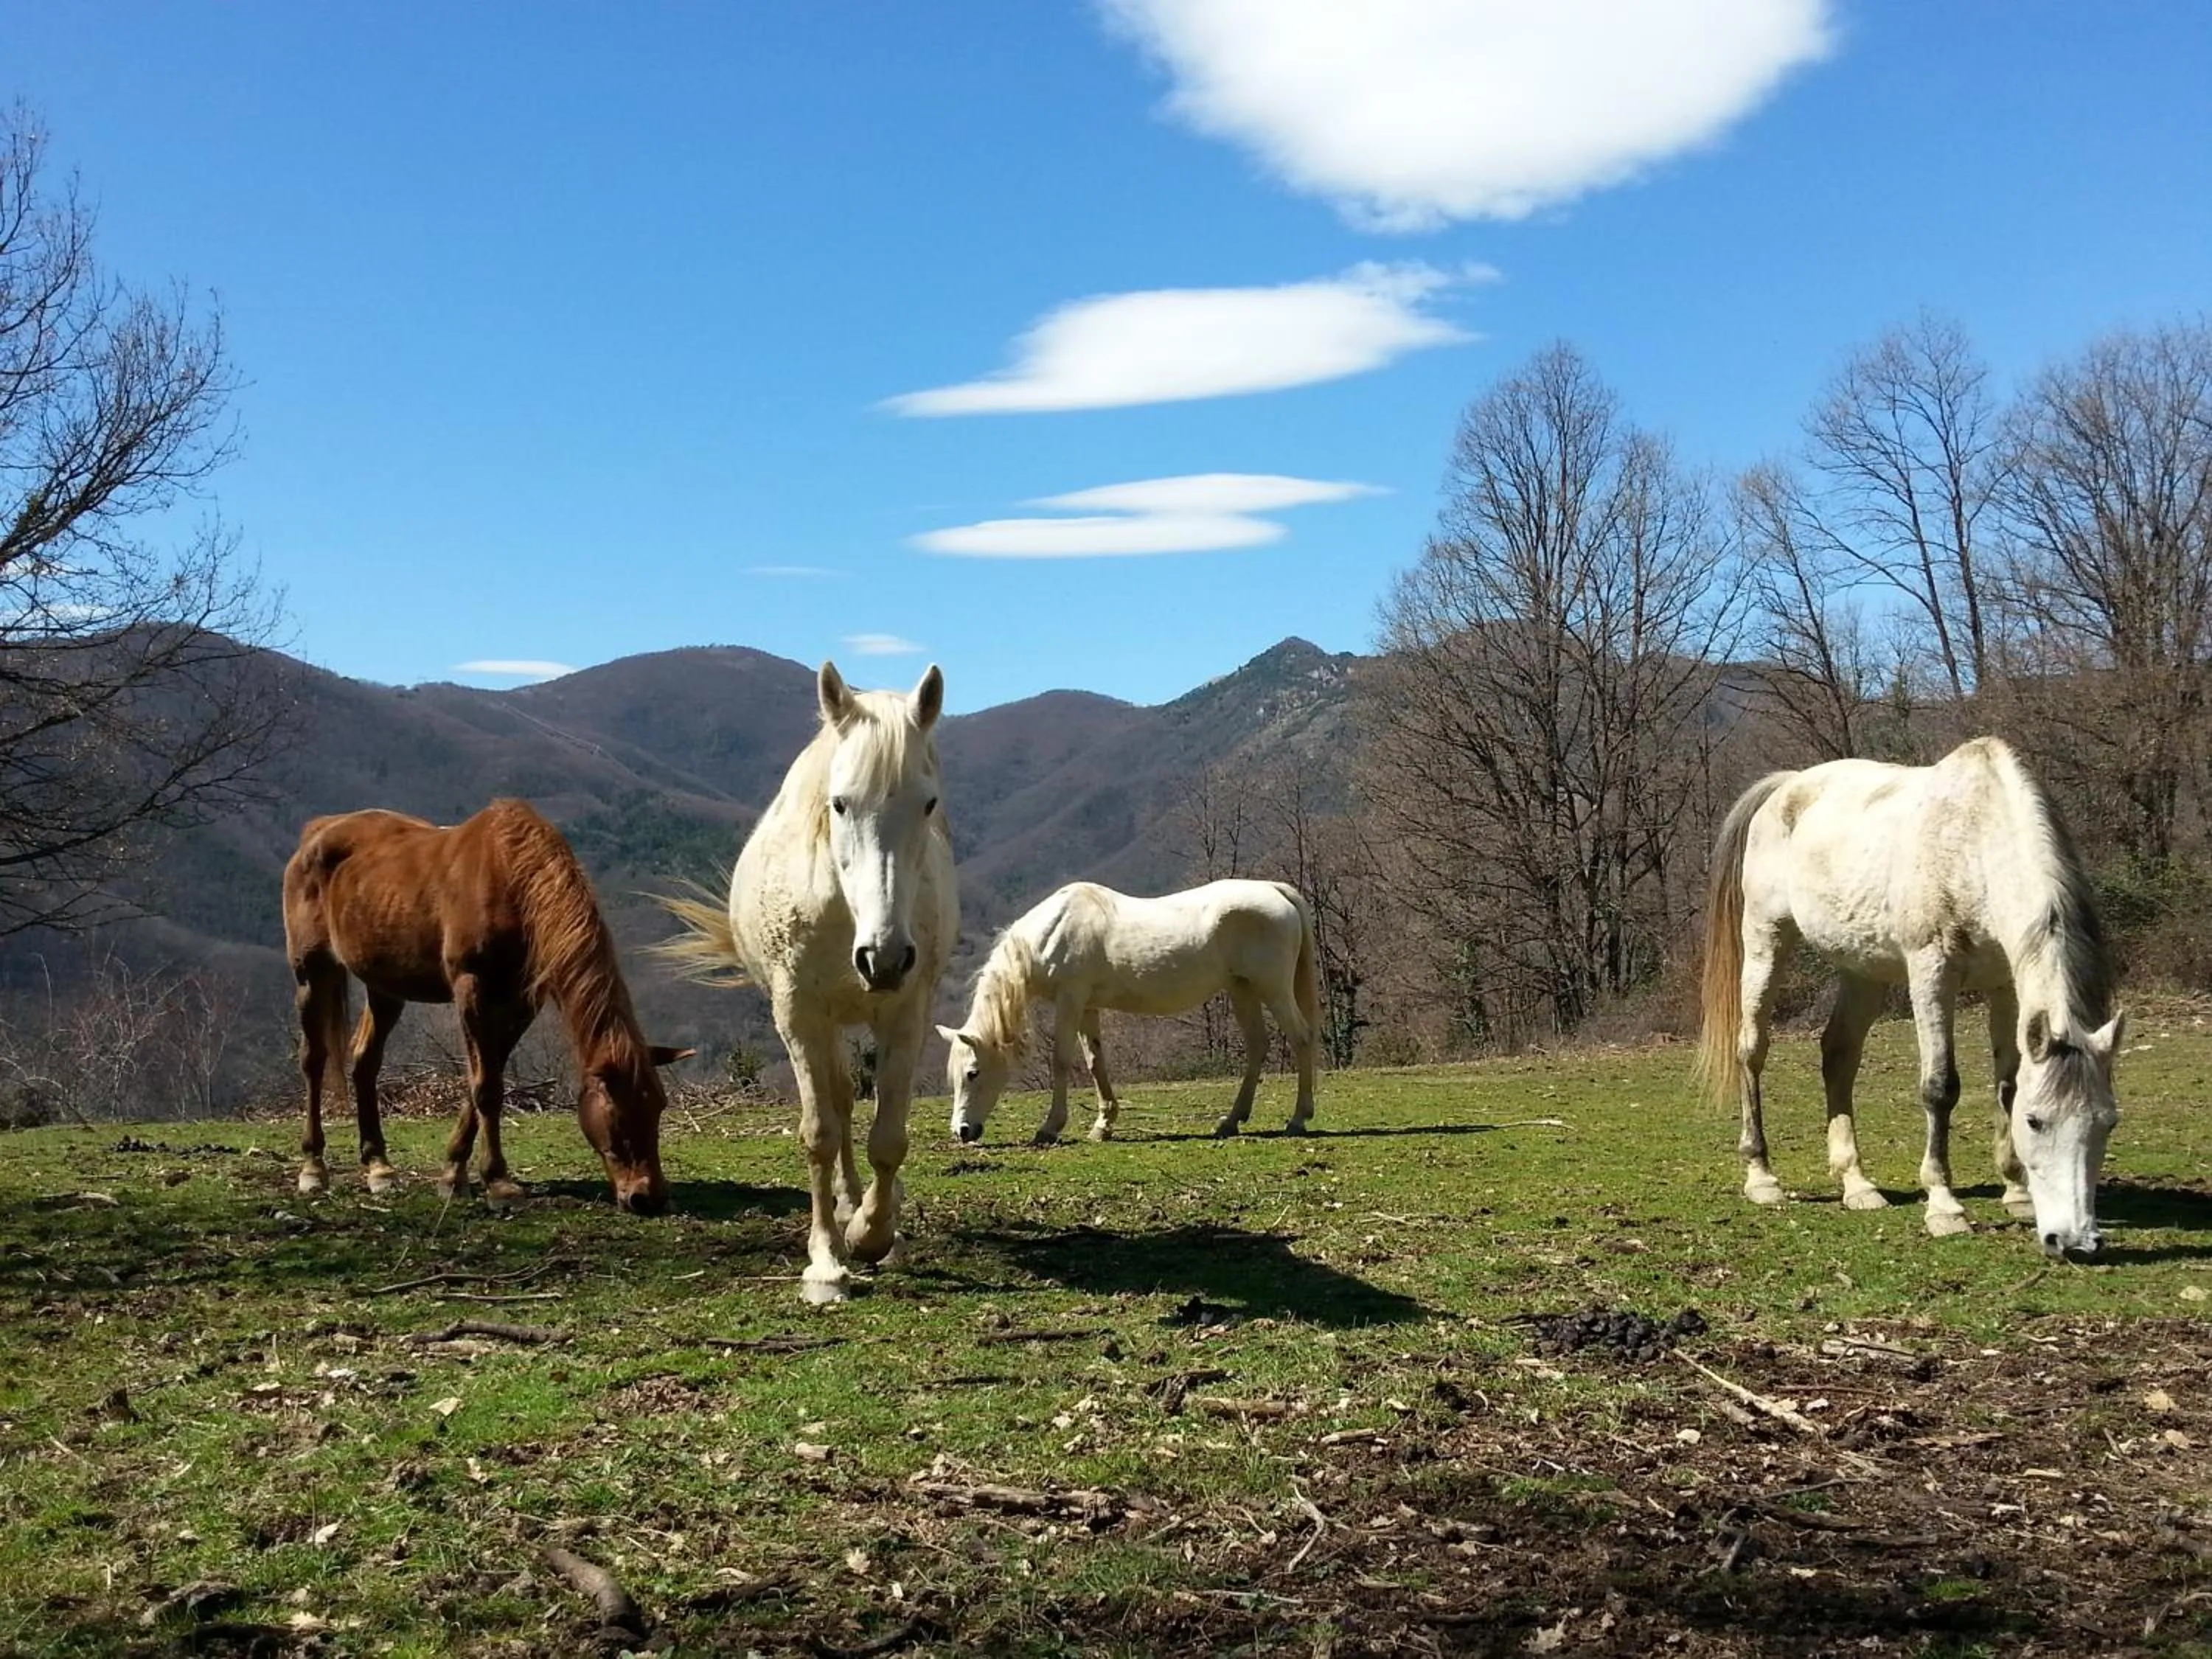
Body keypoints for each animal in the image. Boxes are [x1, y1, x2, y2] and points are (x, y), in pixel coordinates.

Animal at [282, 799, 692, 1213]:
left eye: (658, 1106)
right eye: (620, 1114)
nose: (648, 1197)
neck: (511, 881)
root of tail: (317, 831)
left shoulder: (521, 1004)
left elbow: (481, 1082)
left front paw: (453, 1173)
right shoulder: (472, 990)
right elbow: (488, 1088)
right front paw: (497, 1182)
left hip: (385, 985)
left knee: (365, 1061)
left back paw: (379, 1168)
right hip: (311, 973)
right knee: (313, 1059)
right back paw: (313, 1167)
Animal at [660, 662, 957, 1303]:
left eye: (928, 803)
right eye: (840, 804)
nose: (884, 958)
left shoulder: (907, 1012)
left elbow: (888, 1137)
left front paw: (874, 1233)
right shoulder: (797, 1014)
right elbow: (820, 1131)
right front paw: (826, 1262)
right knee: (840, 1104)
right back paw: (842, 1210)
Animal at [938, 878, 1319, 1146]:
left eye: (973, 1073)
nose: (963, 1131)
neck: (1051, 932)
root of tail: (1275, 890)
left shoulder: (1070, 999)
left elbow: (1061, 1060)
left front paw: (1050, 1127)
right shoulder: (1088, 1006)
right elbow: (1095, 1062)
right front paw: (1103, 1125)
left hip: (1273, 989)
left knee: (1302, 1038)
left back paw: (1298, 1119)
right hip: (1242, 990)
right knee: (1258, 1046)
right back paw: (1230, 1121)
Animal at [1697, 737, 2125, 1256]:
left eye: (2108, 1122)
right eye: (2036, 1122)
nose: (2075, 1242)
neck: (1972, 844)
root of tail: (1787, 786)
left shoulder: (2005, 985)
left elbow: (2006, 1083)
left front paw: (2017, 1194)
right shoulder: (1931, 974)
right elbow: (1940, 1087)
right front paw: (1944, 1206)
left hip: (1862, 970)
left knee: (1838, 1055)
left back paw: (1857, 1184)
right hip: (1766, 940)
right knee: (1751, 1051)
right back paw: (1761, 1177)